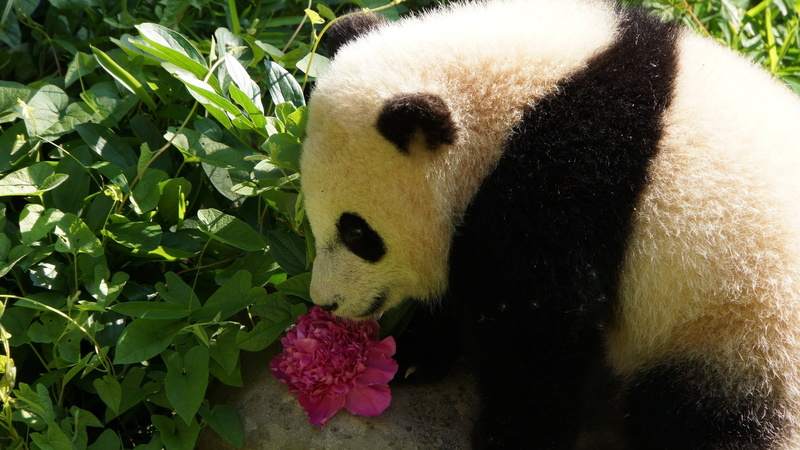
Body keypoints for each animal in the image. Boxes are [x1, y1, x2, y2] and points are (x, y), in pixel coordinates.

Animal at [299, 0, 800, 448]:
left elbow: (535, 331)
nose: (327, 301)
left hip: (742, 335)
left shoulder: (565, 186)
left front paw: (510, 435)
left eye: (357, 232)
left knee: (709, 419)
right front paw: (415, 353)